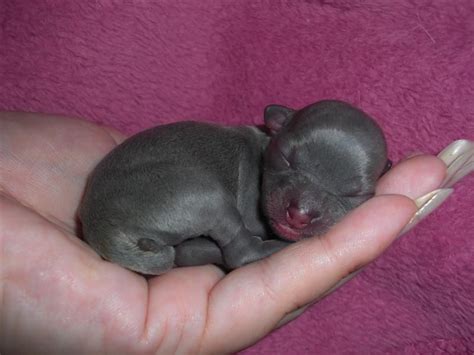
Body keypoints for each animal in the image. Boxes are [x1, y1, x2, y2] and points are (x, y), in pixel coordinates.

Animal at [78, 99, 388, 276]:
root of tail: (102, 229)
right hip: (203, 197)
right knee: (241, 253)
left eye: (355, 194)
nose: (299, 214)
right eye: (285, 158)